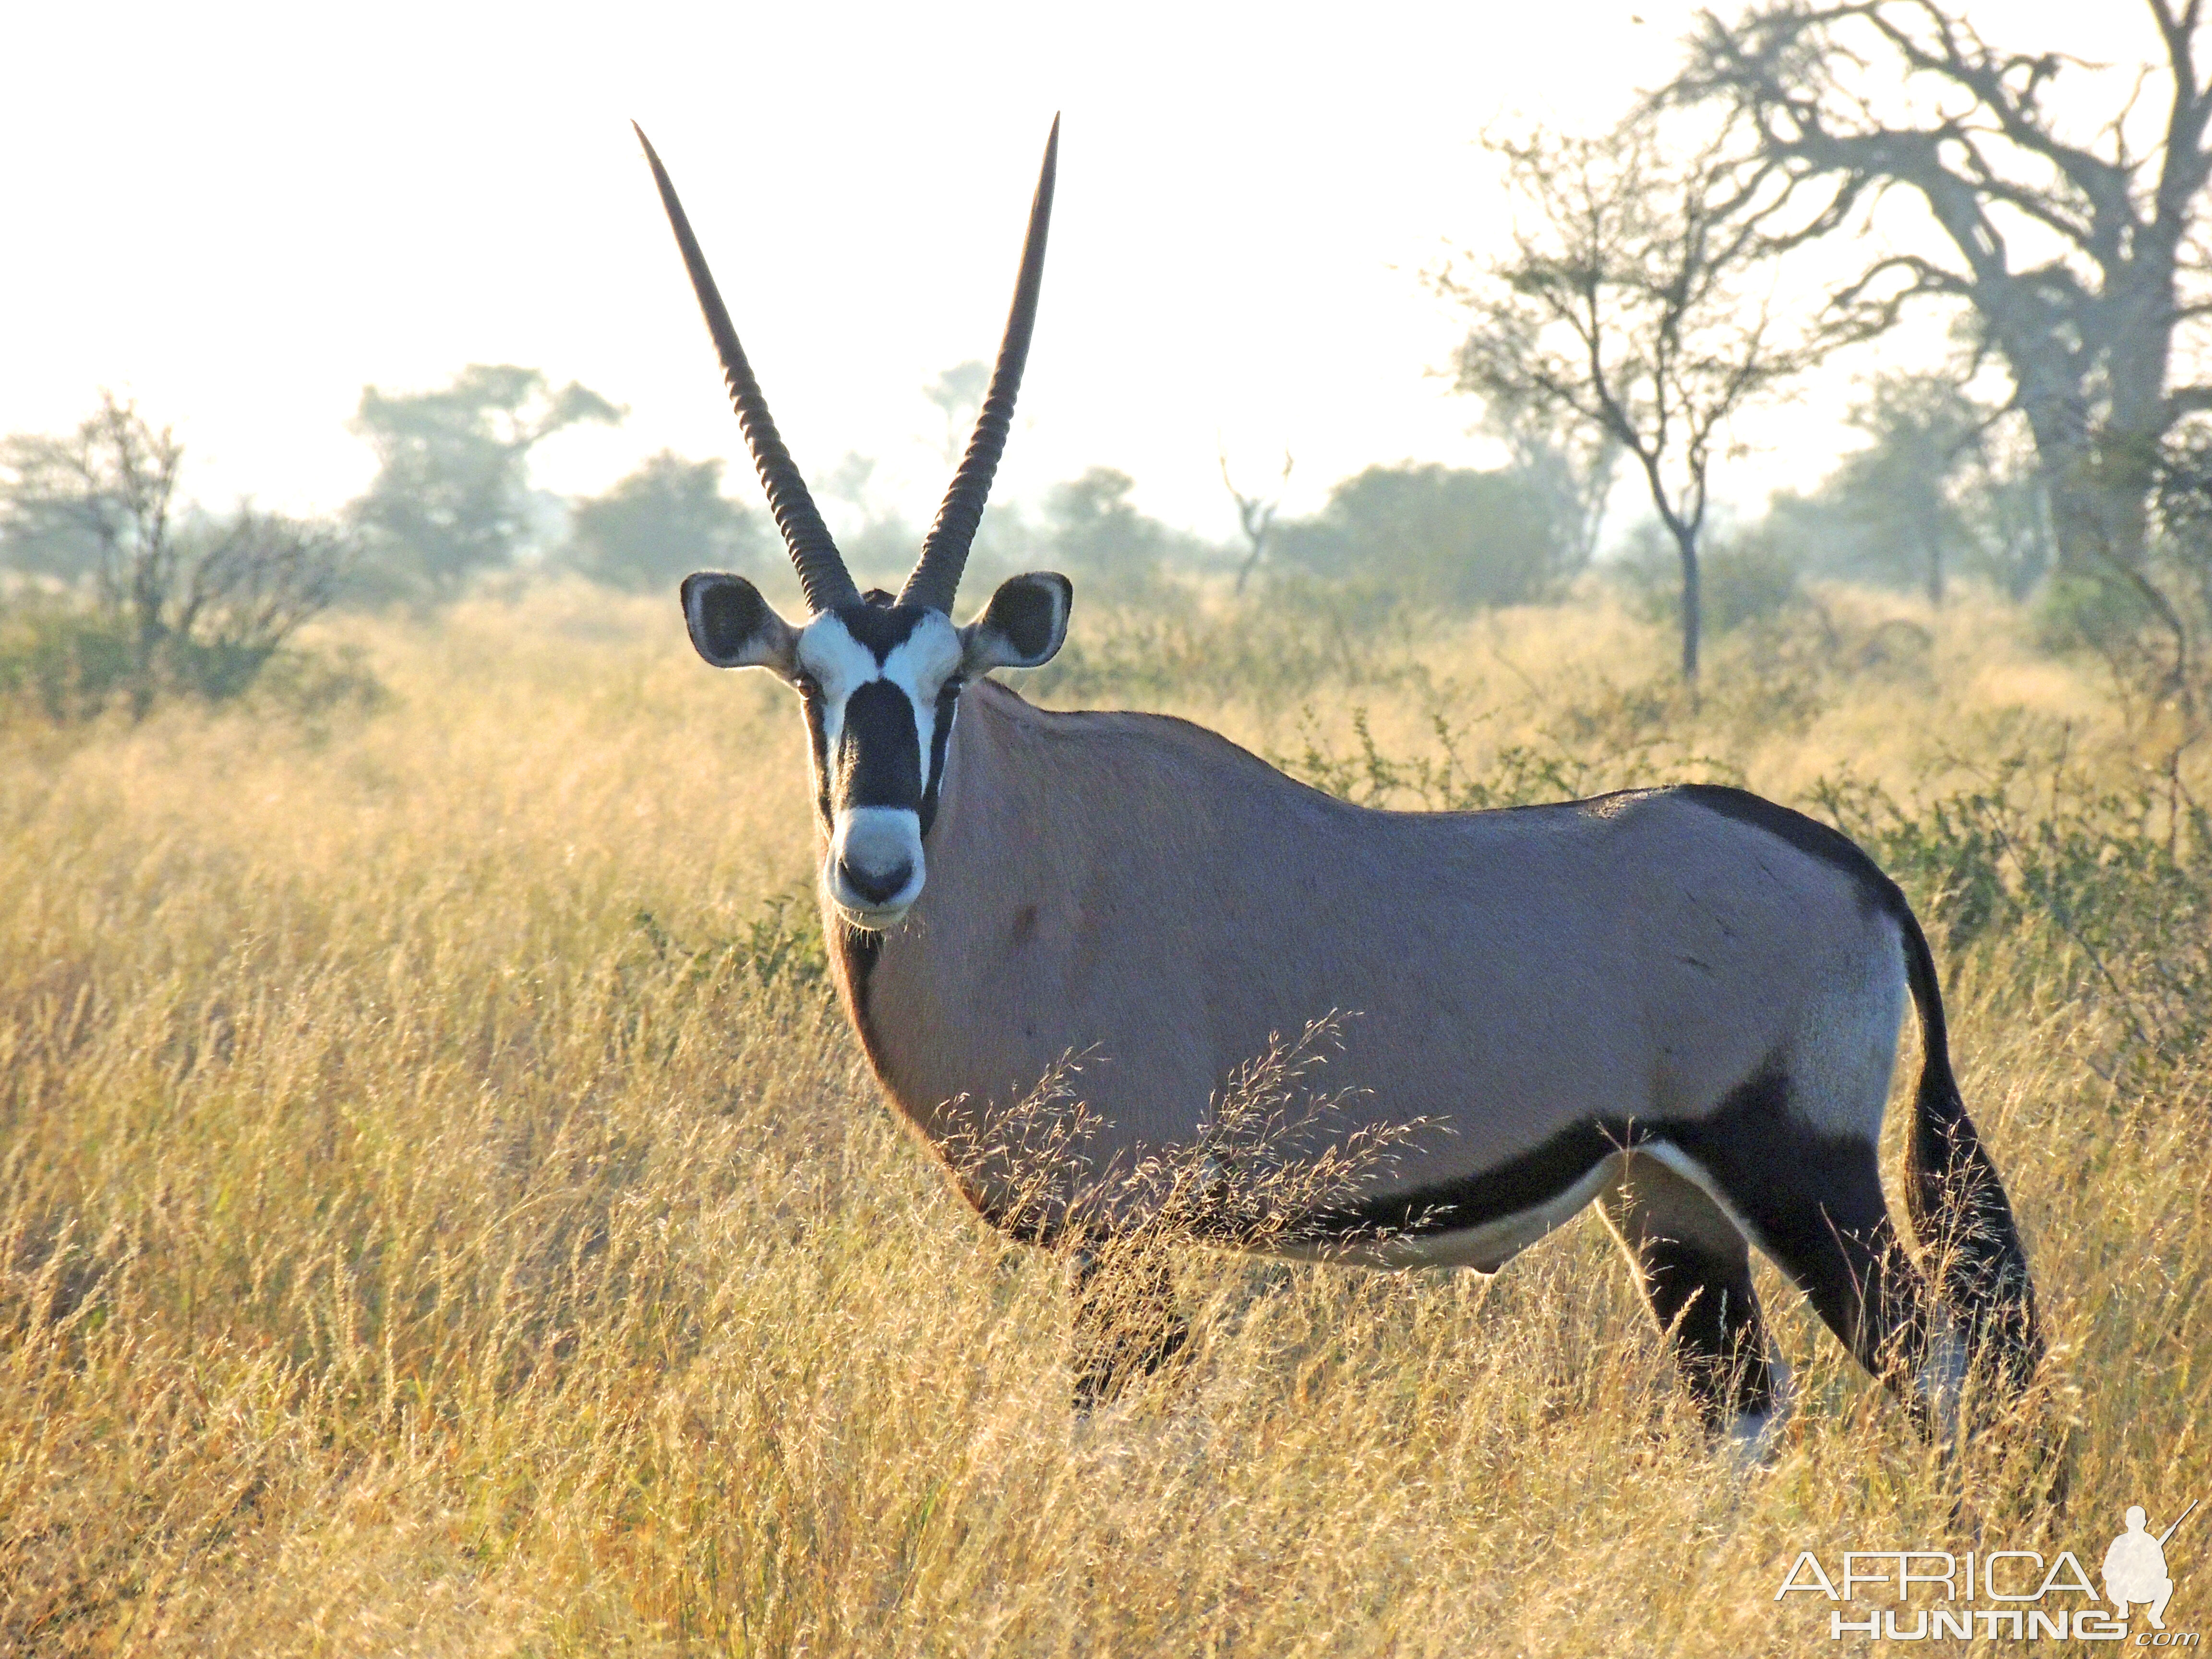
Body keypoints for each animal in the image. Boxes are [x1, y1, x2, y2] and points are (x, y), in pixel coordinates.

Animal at [637, 120, 2035, 1451]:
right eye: (810, 686)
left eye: (948, 686)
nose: (875, 866)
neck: (1035, 865)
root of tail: (1855, 873)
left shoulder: (1126, 1220)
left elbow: (1131, 1430)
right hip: (1669, 1194)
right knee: (1738, 1402)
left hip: (1800, 1167)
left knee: (1931, 1365)